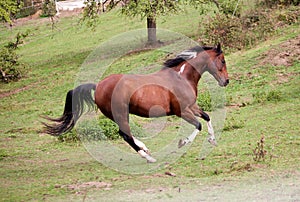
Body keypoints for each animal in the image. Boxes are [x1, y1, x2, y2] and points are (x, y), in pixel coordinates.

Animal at [42, 43, 230, 163]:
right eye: (222, 60)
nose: (226, 81)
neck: (181, 77)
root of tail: (98, 86)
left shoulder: (192, 107)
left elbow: (206, 117)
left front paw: (213, 140)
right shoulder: (182, 111)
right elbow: (198, 125)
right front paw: (182, 143)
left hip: (118, 115)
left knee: (127, 134)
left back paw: (146, 149)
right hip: (120, 114)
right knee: (125, 135)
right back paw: (149, 157)